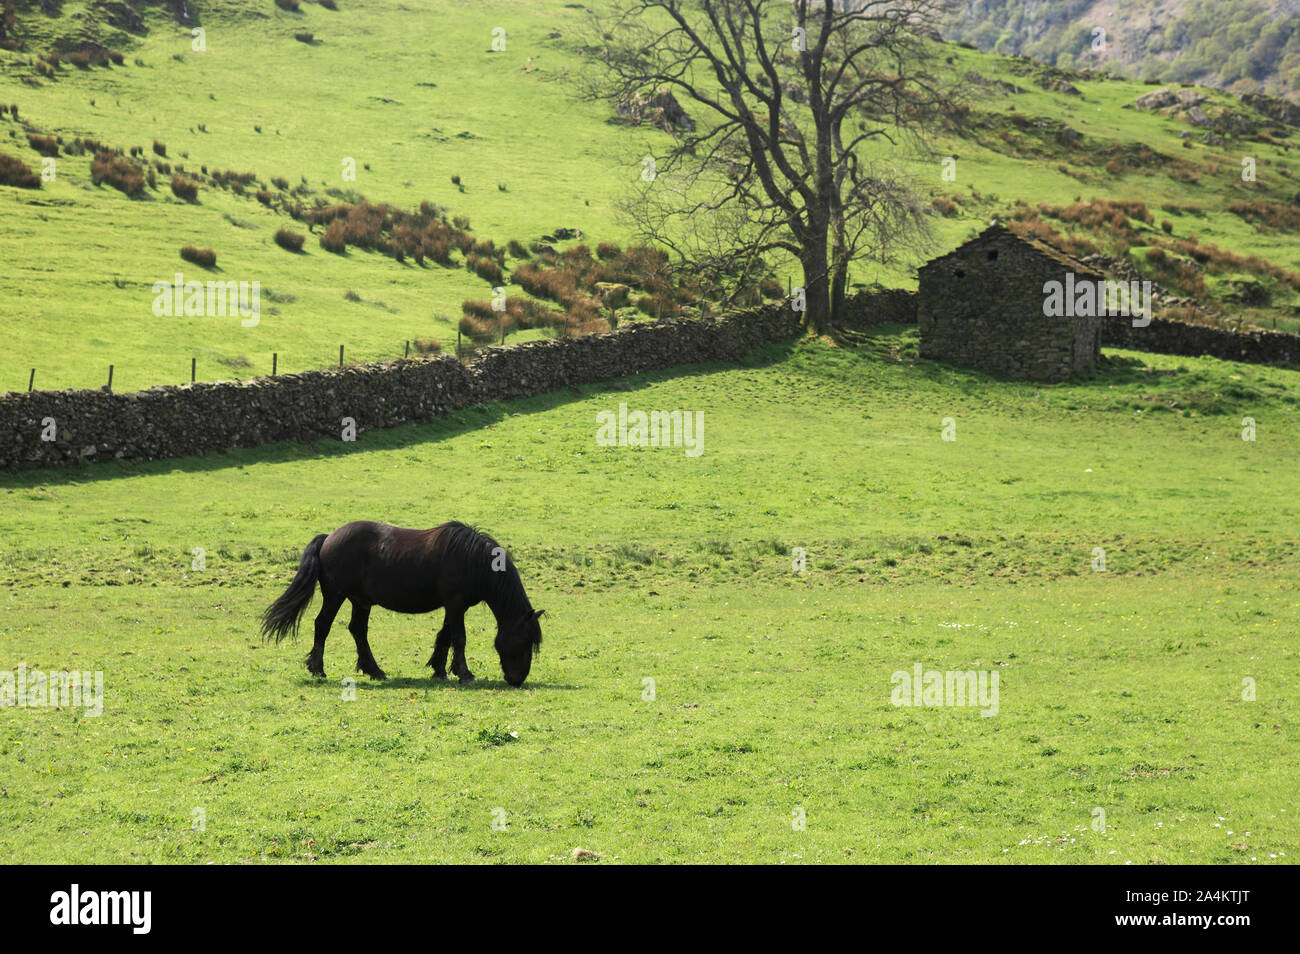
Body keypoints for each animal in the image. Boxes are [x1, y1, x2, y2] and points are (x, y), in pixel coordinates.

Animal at [258, 522, 543, 686]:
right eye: (523, 641)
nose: (517, 680)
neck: (474, 560)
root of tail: (328, 538)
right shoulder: (455, 604)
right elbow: (459, 638)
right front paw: (465, 674)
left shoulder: (453, 606)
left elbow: (445, 636)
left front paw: (439, 670)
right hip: (335, 596)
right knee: (323, 625)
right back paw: (318, 669)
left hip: (361, 601)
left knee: (358, 631)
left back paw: (374, 671)